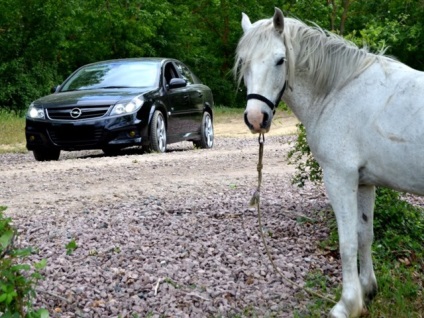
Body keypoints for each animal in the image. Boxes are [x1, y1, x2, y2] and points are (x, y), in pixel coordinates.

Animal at [235, 6, 424, 316]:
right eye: (244, 62)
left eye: (280, 60)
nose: (255, 119)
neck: (338, 91)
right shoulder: (364, 183)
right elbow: (364, 235)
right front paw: (367, 290)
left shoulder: (339, 178)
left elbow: (347, 243)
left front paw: (347, 304)